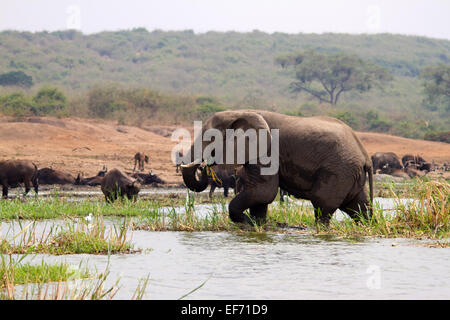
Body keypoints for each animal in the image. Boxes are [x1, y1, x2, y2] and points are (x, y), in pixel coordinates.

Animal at [179, 109, 372, 225]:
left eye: (209, 138)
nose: (203, 166)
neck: (240, 112)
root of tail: (365, 155)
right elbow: (260, 197)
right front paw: (257, 226)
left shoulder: (267, 152)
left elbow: (263, 192)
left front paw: (248, 223)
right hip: (350, 174)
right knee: (359, 206)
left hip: (339, 171)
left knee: (322, 205)